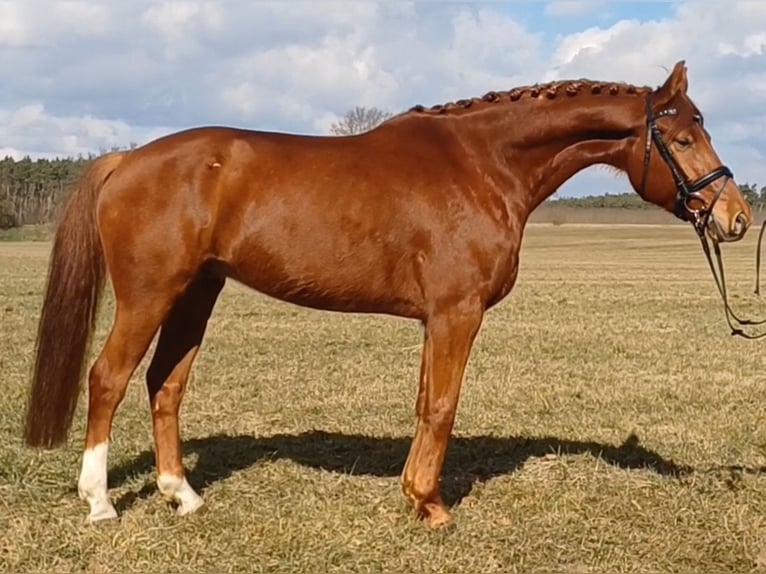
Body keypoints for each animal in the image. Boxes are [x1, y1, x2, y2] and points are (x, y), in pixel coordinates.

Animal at [23, 61, 752, 528]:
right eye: (682, 137)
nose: (737, 217)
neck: (484, 164)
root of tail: (126, 159)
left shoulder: (437, 318)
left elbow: (426, 403)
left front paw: (414, 495)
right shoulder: (456, 313)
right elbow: (443, 407)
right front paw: (431, 507)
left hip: (196, 292)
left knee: (165, 384)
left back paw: (184, 496)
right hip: (151, 295)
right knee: (109, 378)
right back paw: (100, 503)